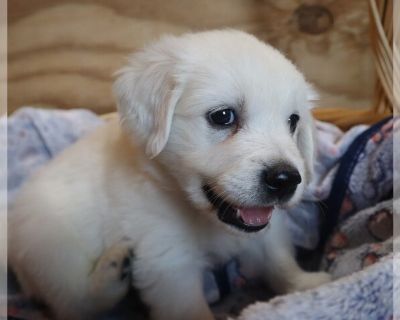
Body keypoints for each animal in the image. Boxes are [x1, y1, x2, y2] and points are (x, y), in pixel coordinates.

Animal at [8, 30, 332, 320]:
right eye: (223, 116)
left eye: (293, 121)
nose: (286, 179)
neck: (201, 217)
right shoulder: (169, 266)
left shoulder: (264, 234)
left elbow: (278, 259)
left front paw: (305, 284)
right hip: (55, 249)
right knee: (74, 303)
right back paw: (111, 274)